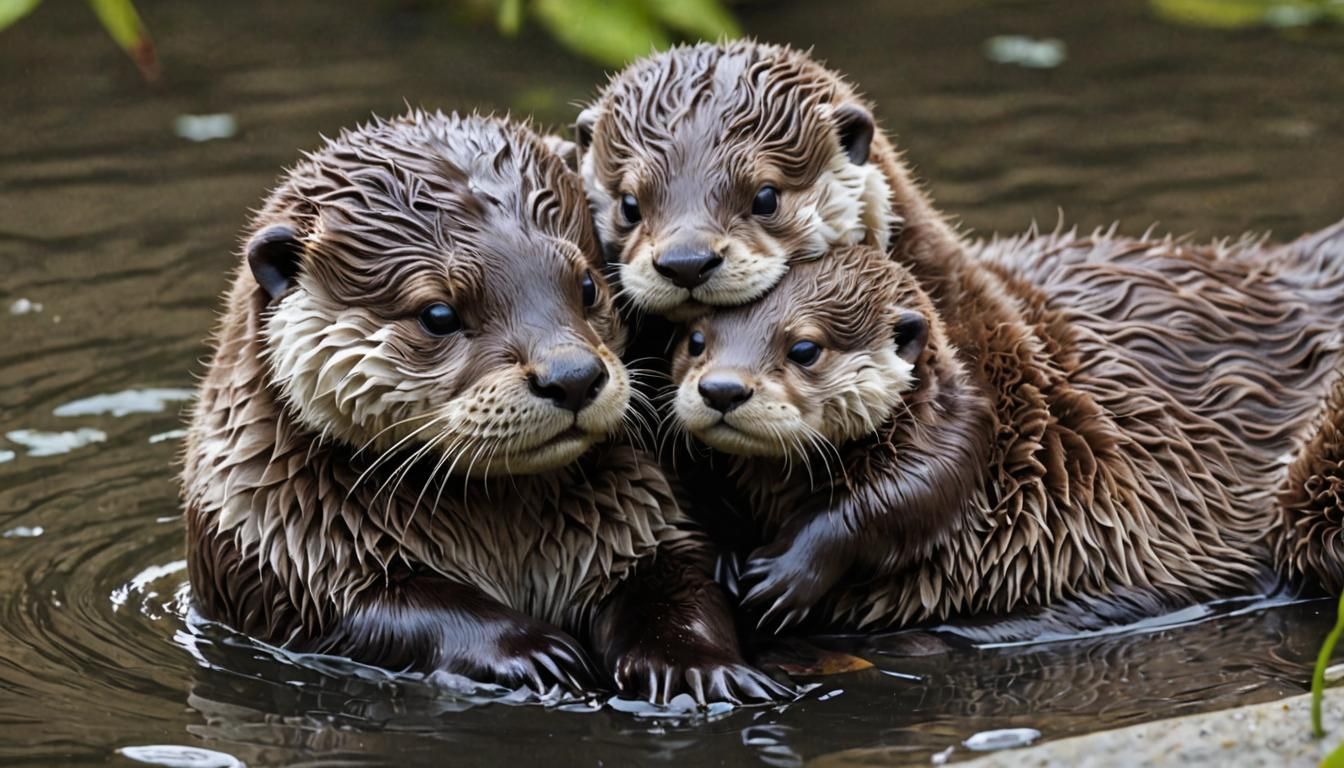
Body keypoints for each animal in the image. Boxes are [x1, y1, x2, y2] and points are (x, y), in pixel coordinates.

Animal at [180, 110, 789, 704]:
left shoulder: (645, 510)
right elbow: (390, 610)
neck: (503, 538)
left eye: (587, 285)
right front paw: (534, 651)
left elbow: (680, 583)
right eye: (438, 314)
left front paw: (702, 668)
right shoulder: (279, 551)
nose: (573, 376)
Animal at [670, 226, 1344, 635]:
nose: (722, 389)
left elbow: (904, 500)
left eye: (805, 348)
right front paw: (726, 554)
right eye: (697, 341)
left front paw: (787, 573)